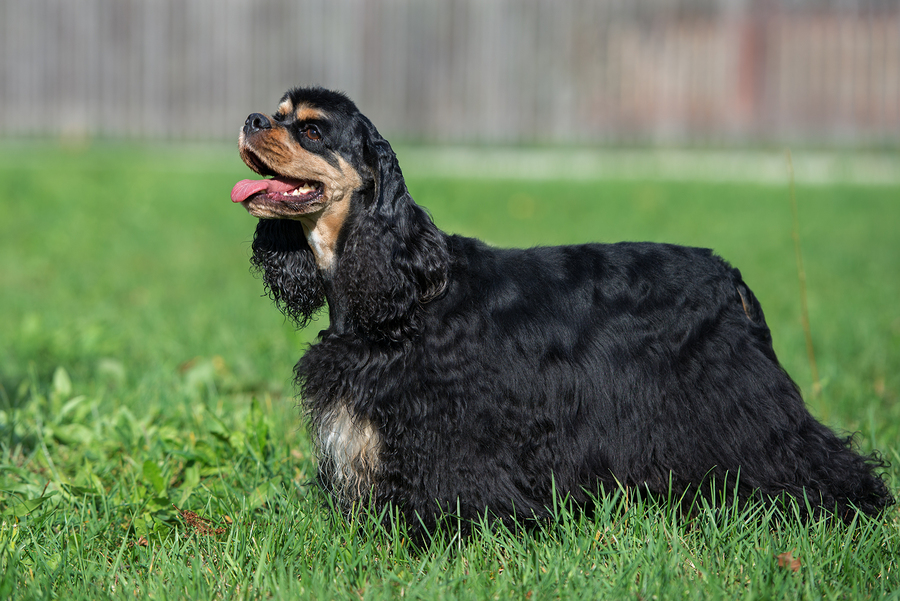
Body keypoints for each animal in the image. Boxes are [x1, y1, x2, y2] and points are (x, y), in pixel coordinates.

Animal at [232, 85, 892, 536]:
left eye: (312, 132)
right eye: (279, 113)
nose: (251, 118)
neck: (400, 283)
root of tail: (730, 279)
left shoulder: (449, 422)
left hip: (743, 404)